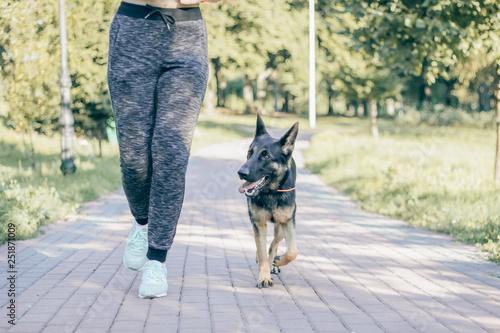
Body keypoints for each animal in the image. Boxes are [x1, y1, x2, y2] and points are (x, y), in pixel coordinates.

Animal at [237, 113, 298, 286]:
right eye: (249, 153)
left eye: (266, 156)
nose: (241, 172)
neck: (271, 192)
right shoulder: (258, 223)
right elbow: (262, 251)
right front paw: (264, 276)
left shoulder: (287, 222)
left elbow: (292, 251)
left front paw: (277, 262)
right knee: (264, 247)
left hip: (281, 228)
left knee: (274, 244)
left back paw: (275, 263)